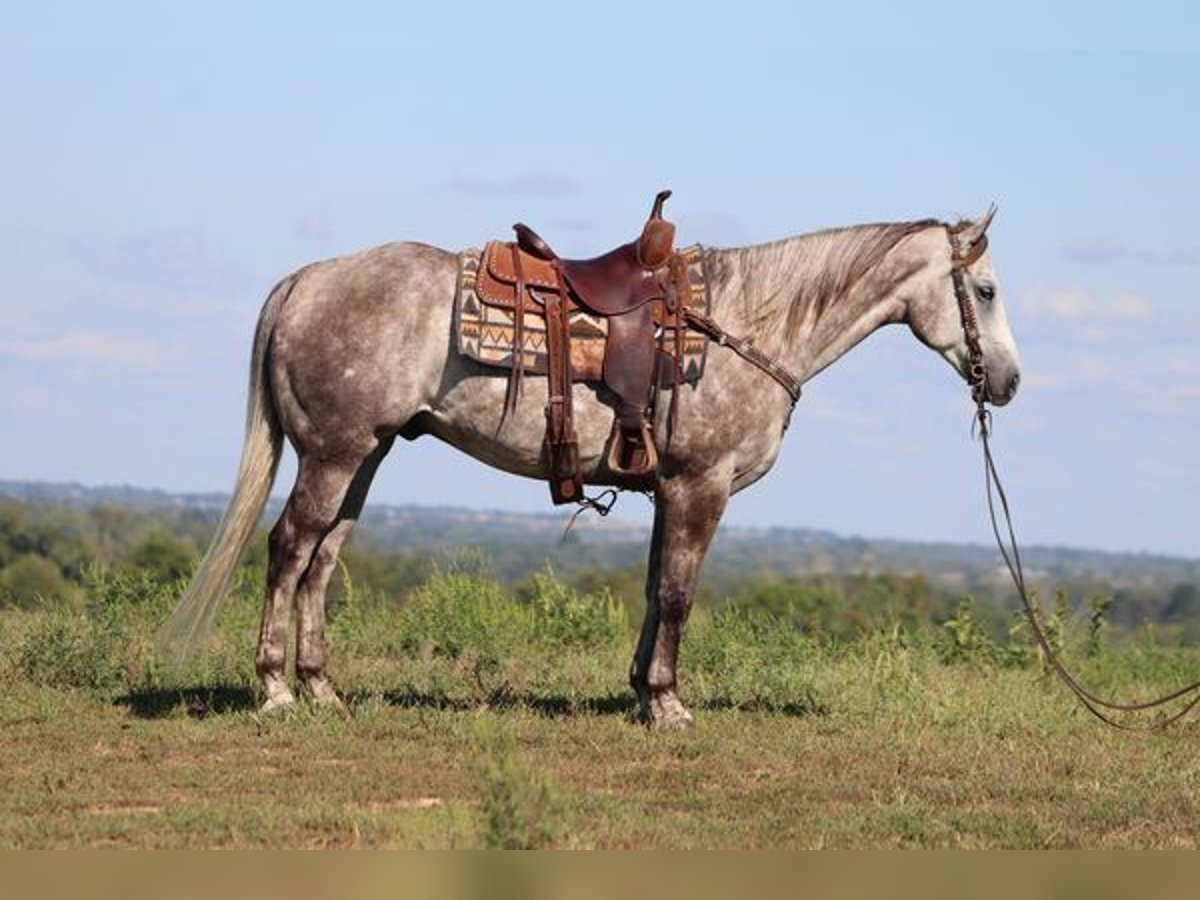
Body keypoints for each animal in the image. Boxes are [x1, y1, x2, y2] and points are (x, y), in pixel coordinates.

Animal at [162, 207, 1022, 729]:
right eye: (984, 288)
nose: (1009, 382)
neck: (749, 324)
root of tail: (306, 280)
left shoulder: (668, 489)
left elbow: (653, 589)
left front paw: (642, 690)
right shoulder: (700, 485)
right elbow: (678, 593)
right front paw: (669, 705)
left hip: (363, 453)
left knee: (323, 558)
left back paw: (321, 687)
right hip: (334, 453)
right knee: (288, 548)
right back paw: (276, 690)